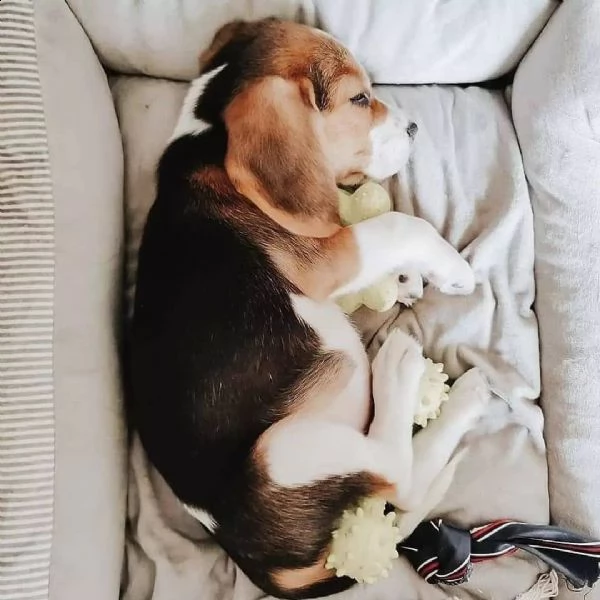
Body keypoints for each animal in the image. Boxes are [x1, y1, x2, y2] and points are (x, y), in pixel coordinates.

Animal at [131, 17, 488, 600]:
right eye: (359, 98)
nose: (413, 128)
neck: (208, 135)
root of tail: (253, 555)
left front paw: (407, 276)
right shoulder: (326, 257)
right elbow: (396, 226)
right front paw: (450, 267)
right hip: (287, 449)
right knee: (399, 477)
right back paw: (413, 376)